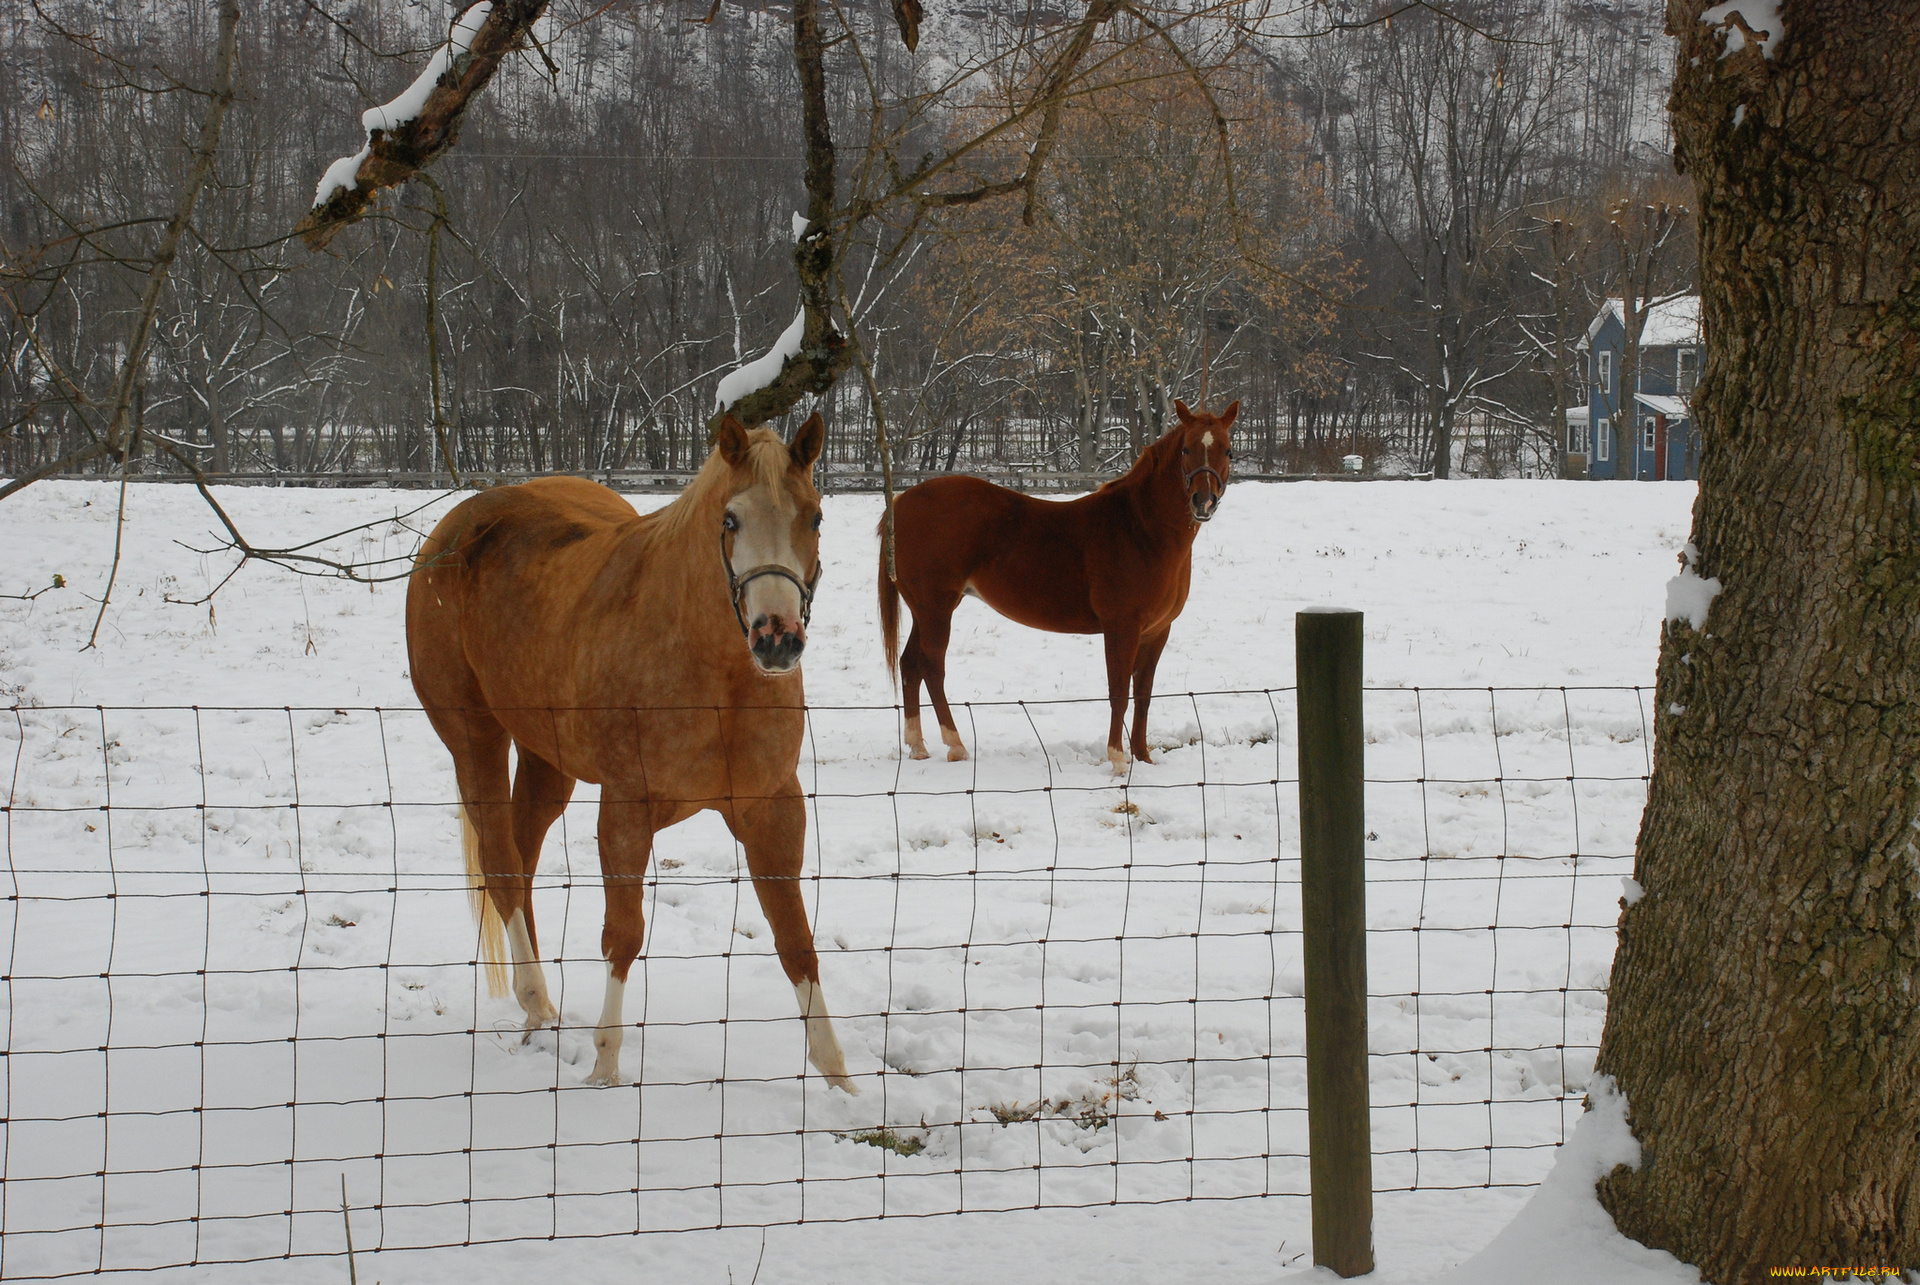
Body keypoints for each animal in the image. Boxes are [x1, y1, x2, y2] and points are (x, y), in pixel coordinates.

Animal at [405, 412, 856, 1091]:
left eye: (816, 517)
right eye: (731, 519)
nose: (777, 638)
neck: (715, 672)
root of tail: (455, 529)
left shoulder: (773, 809)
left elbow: (795, 938)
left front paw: (840, 1082)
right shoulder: (626, 809)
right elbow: (622, 935)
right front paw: (605, 1067)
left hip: (546, 760)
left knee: (522, 856)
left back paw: (538, 1013)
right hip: (474, 739)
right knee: (502, 862)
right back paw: (537, 999)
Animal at [879, 397, 1236, 772]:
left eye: (1228, 451)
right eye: (1186, 449)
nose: (1203, 501)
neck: (1139, 528)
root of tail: (901, 503)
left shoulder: (1156, 631)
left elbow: (1143, 695)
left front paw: (1143, 757)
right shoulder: (1121, 627)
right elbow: (1119, 693)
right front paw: (1118, 760)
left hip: (924, 610)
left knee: (910, 664)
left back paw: (918, 746)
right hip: (936, 608)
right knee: (932, 667)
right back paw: (956, 745)